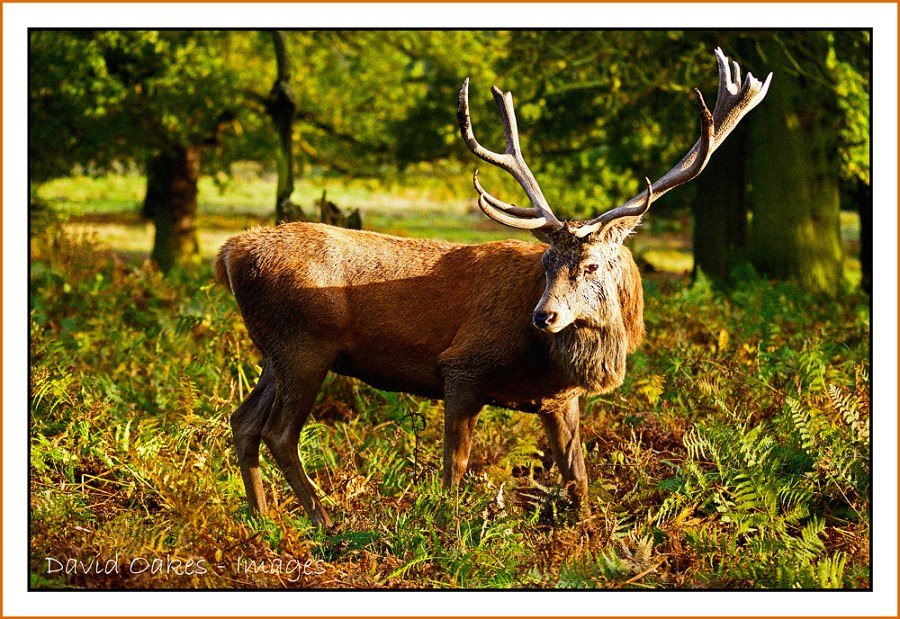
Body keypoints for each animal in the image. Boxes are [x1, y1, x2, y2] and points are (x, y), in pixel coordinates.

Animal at [216, 48, 771, 528]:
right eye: (546, 262)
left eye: (591, 264)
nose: (543, 316)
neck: (551, 359)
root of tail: (230, 254)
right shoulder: (463, 366)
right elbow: (455, 467)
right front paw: (448, 529)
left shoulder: (560, 399)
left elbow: (578, 476)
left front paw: (590, 534)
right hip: (305, 345)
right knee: (279, 433)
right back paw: (324, 522)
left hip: (274, 352)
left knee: (243, 422)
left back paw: (262, 520)